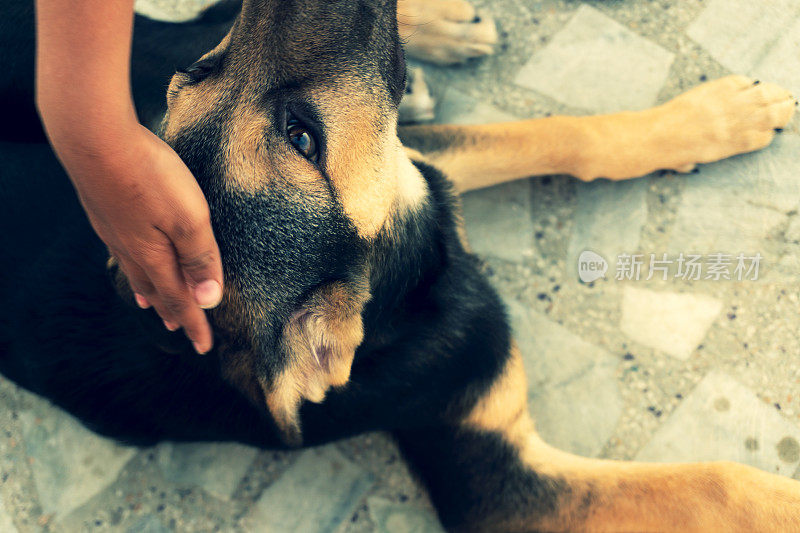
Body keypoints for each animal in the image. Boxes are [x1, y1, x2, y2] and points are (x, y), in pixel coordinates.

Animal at [1, 0, 800, 528]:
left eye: (205, 72)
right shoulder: (492, 478)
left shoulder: (412, 172)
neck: (405, 290)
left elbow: (565, 134)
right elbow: (721, 482)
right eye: (303, 137)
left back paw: (443, 27)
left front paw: (712, 120)